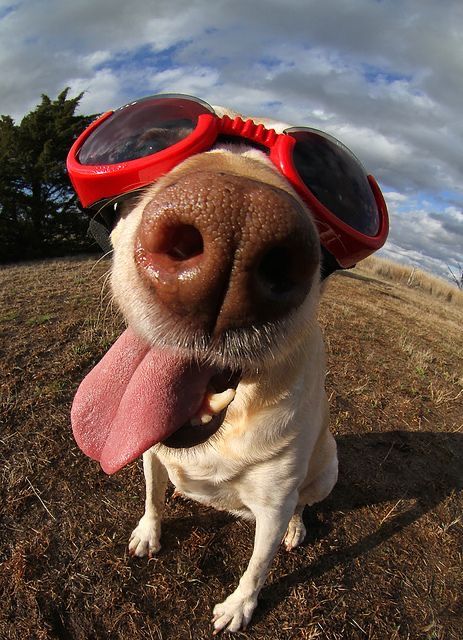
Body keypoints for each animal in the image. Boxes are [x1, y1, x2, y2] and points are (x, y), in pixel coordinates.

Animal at [69, 92, 388, 632]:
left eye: (335, 190)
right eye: (151, 139)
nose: (236, 230)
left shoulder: (274, 502)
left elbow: (258, 566)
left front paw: (239, 607)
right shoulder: (149, 453)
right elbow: (151, 496)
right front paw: (148, 533)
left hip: (326, 468)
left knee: (304, 503)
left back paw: (297, 530)